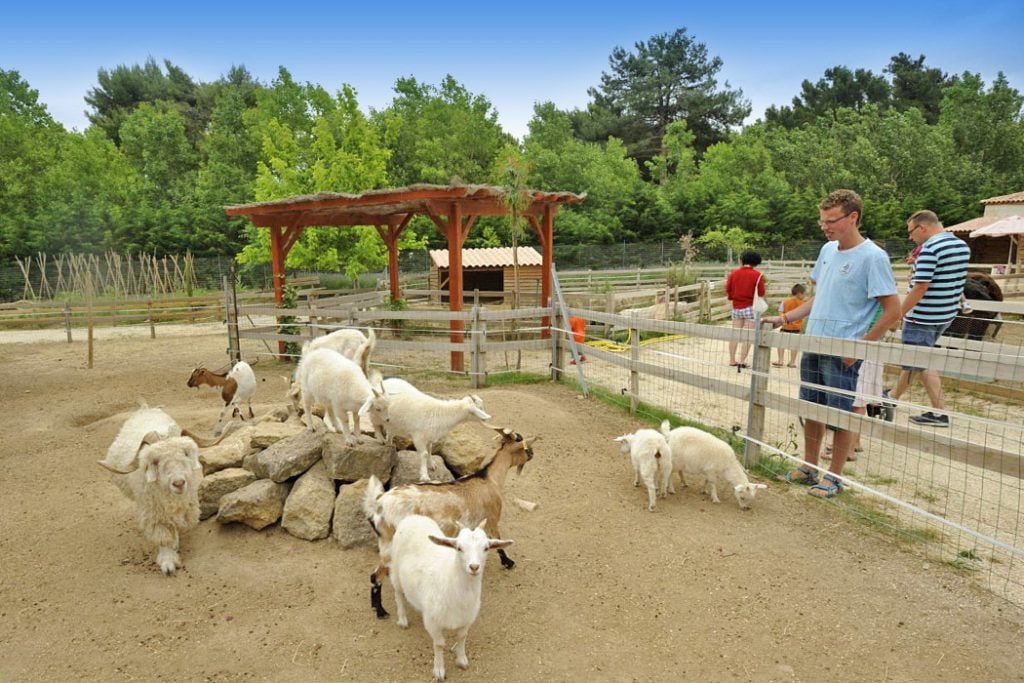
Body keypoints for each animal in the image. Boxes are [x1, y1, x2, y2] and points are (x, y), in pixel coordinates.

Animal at [362, 421, 536, 618]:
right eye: (522, 442)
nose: (532, 453)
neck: (489, 480)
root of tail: (378, 504)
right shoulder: (492, 518)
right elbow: (497, 541)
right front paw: (508, 563)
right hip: (390, 545)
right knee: (376, 575)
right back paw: (381, 611)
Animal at [387, 516, 512, 679]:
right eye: (459, 548)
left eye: (486, 548)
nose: (474, 567)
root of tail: (412, 517)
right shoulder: (434, 622)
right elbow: (439, 644)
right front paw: (439, 670)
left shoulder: (466, 619)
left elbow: (462, 638)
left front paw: (461, 660)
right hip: (395, 569)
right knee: (398, 594)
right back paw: (402, 619)